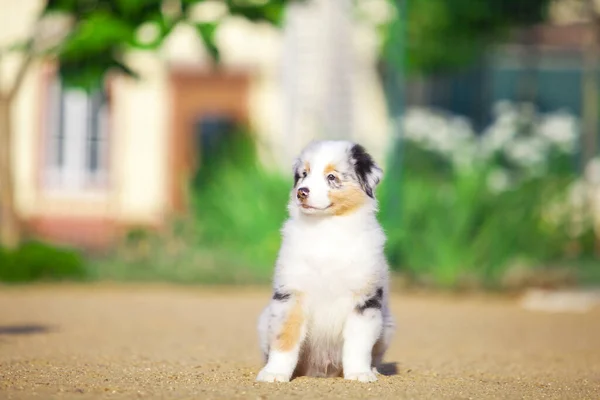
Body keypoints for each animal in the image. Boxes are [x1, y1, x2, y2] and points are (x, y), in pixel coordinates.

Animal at [256, 140, 394, 382]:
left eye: (331, 177)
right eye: (304, 174)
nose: (301, 192)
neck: (326, 227)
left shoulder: (365, 299)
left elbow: (358, 344)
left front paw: (359, 373)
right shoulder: (291, 293)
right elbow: (285, 338)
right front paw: (275, 373)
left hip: (385, 327)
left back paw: (373, 370)